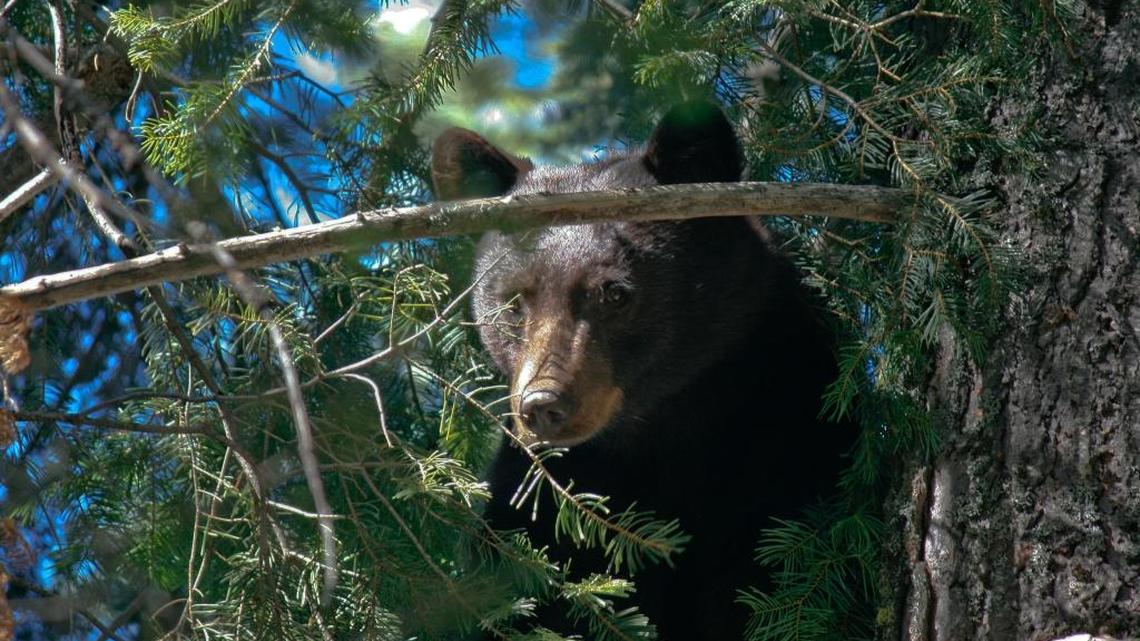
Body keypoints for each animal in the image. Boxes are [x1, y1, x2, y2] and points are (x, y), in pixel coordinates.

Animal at [431, 102, 853, 640]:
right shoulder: (538, 504)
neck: (657, 432)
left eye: (614, 292)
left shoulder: (783, 443)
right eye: (513, 303)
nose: (543, 405)